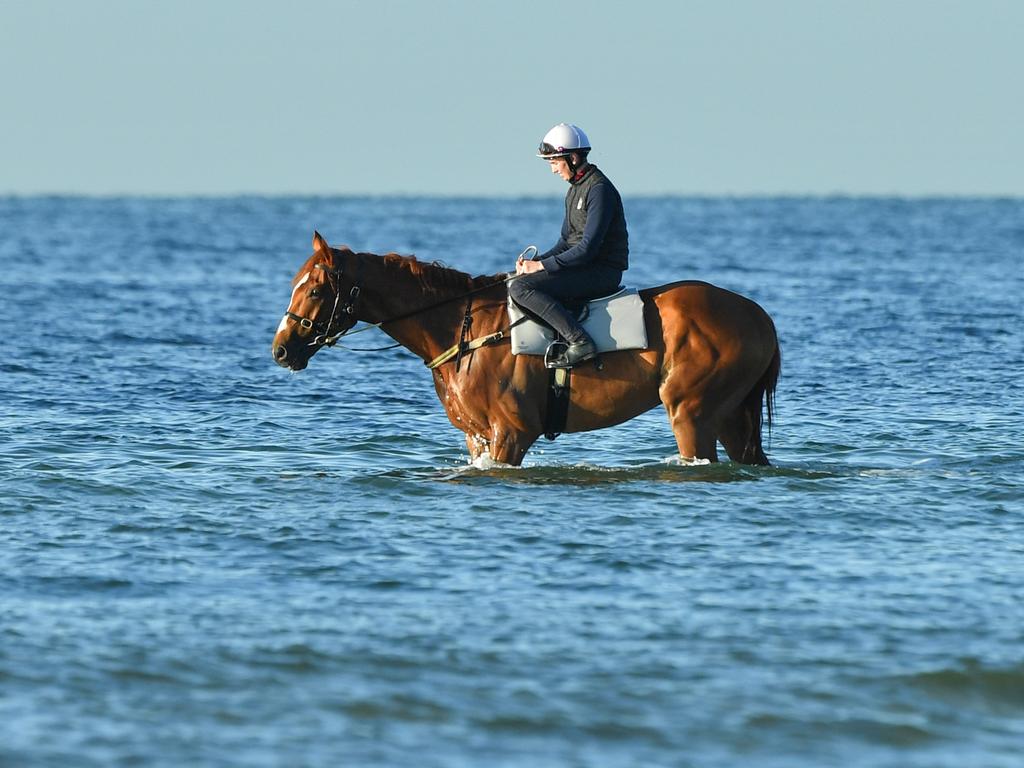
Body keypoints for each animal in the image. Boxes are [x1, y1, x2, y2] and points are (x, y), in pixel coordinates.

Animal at [268, 231, 778, 466]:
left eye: (315, 290)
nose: (281, 349)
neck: (464, 328)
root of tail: (758, 316)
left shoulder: (511, 433)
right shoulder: (477, 436)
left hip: (691, 413)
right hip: (729, 417)